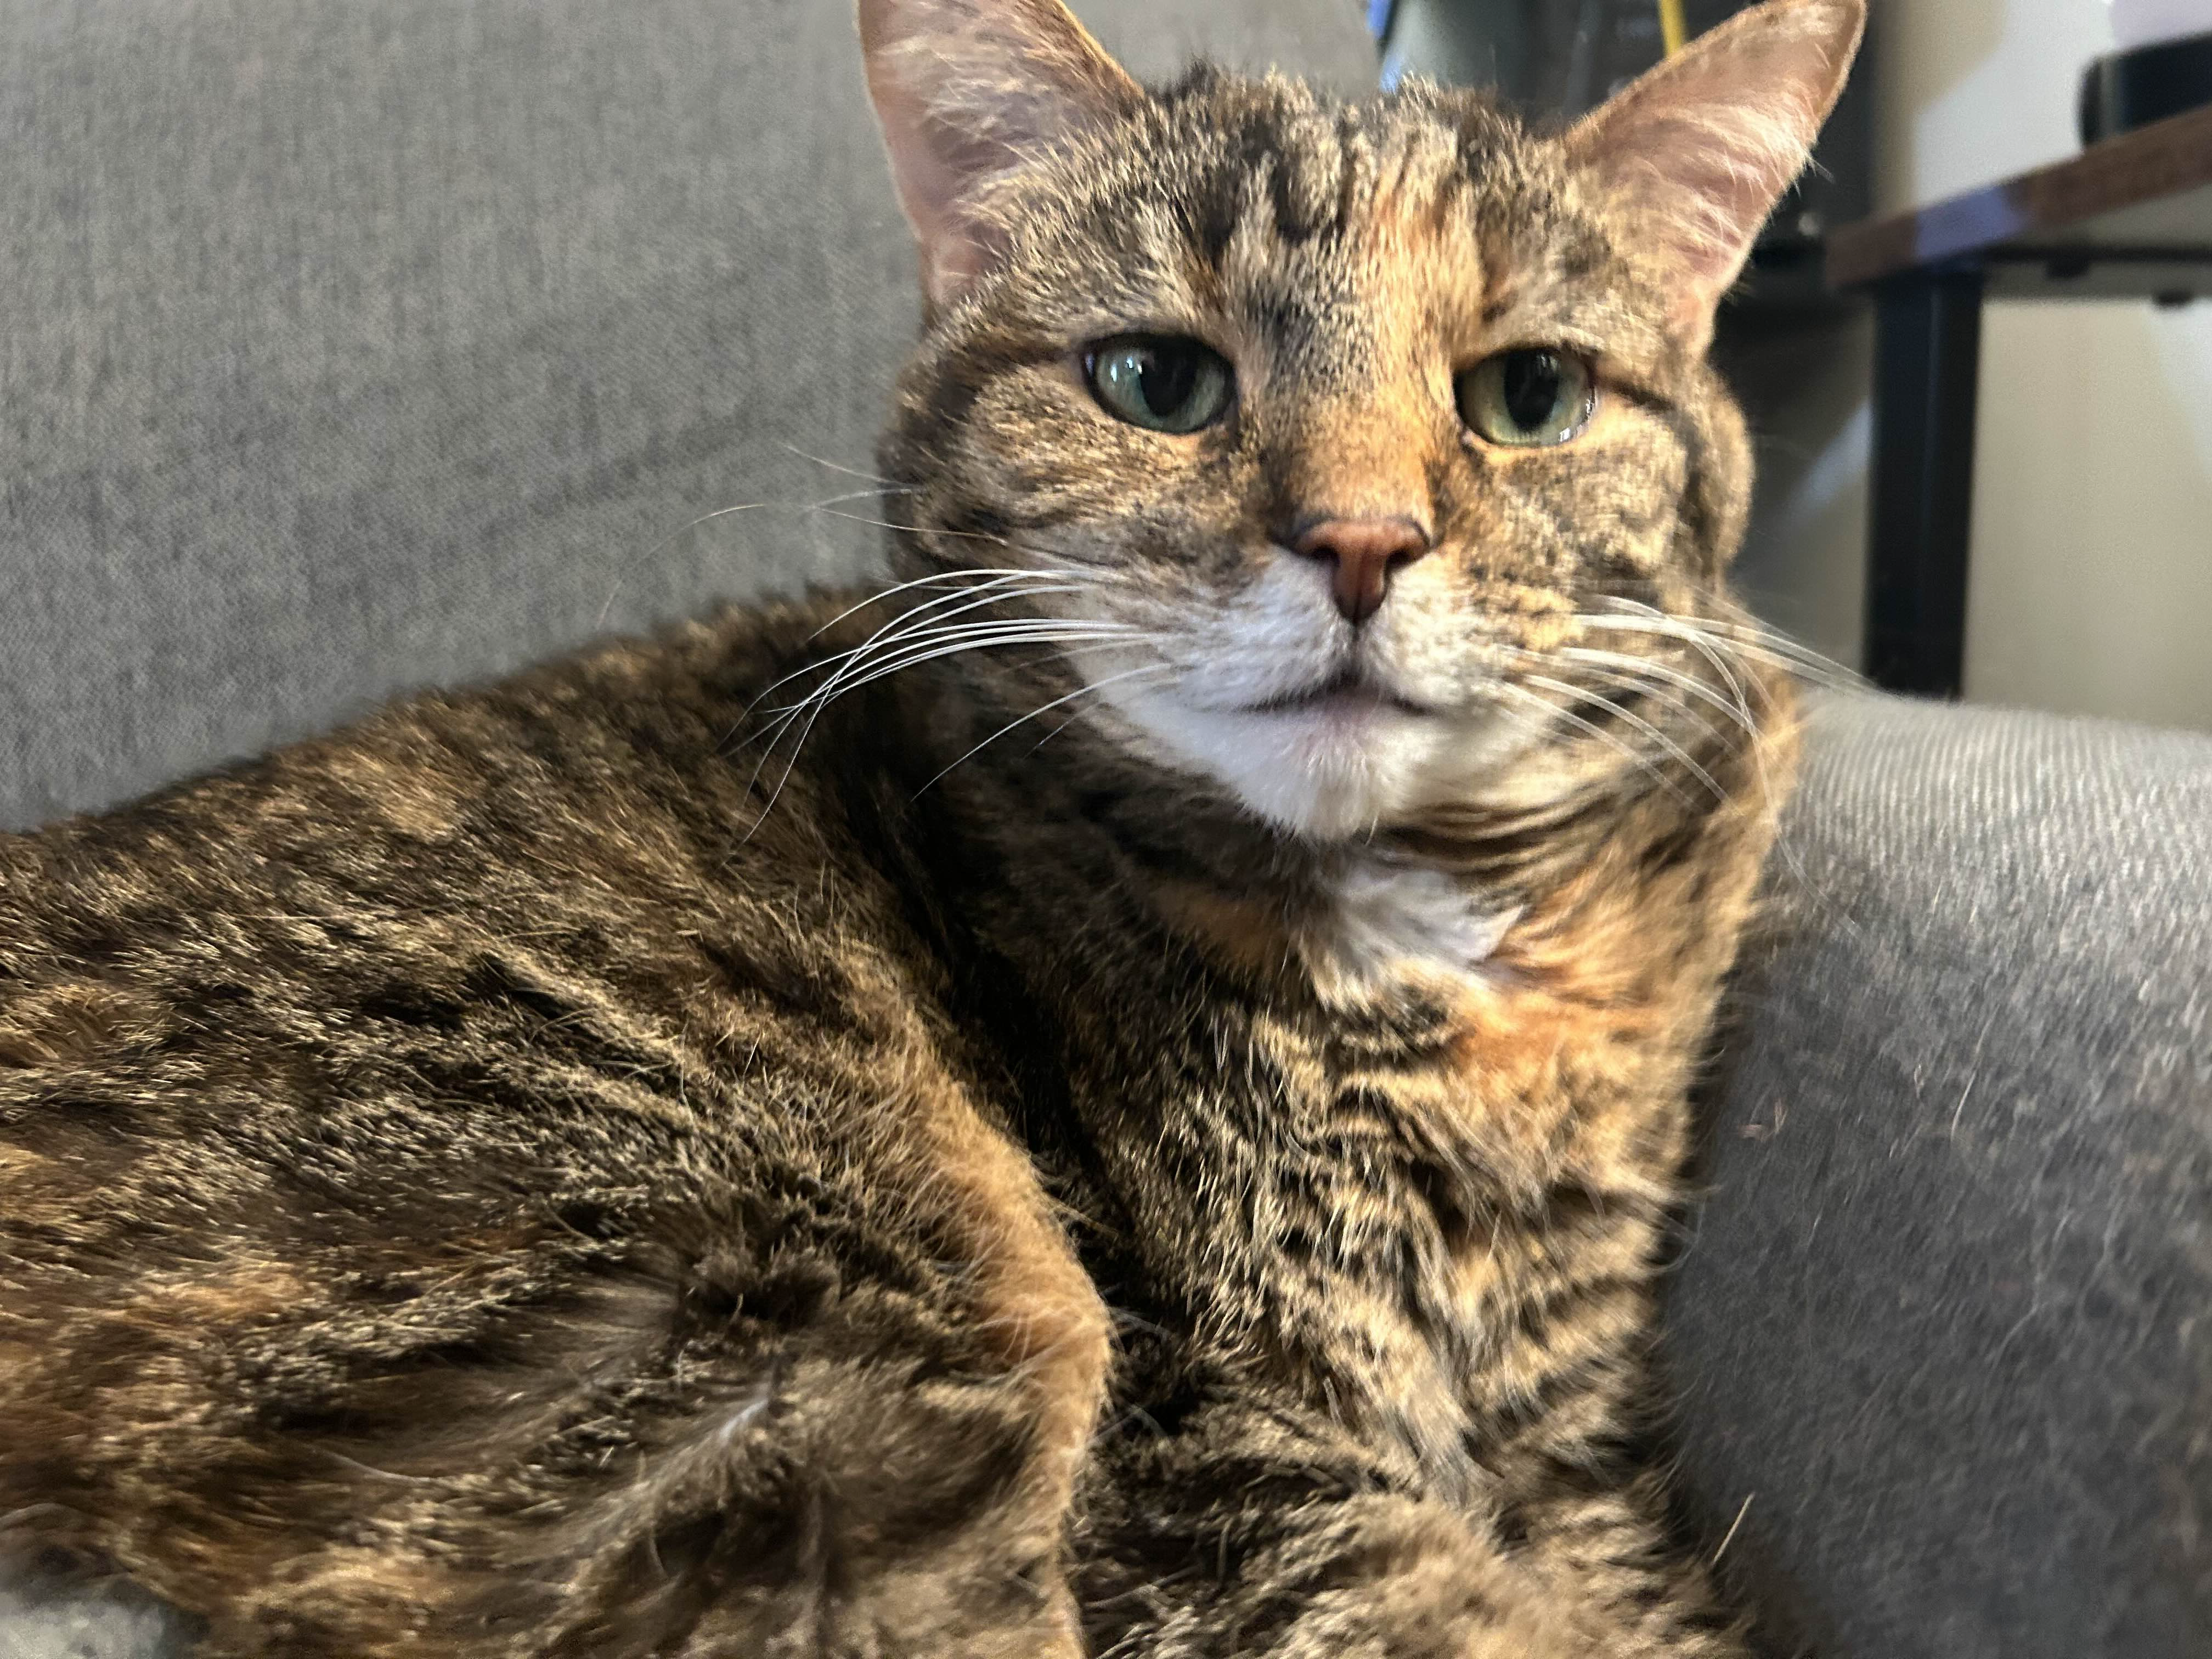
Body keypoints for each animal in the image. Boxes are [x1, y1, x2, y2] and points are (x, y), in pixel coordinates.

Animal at [0, 0, 1867, 1654]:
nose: (1360, 540)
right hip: (803, 1321)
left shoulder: (1565, 1443)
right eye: (1156, 381)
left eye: (1531, 395)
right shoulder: (1218, 1469)